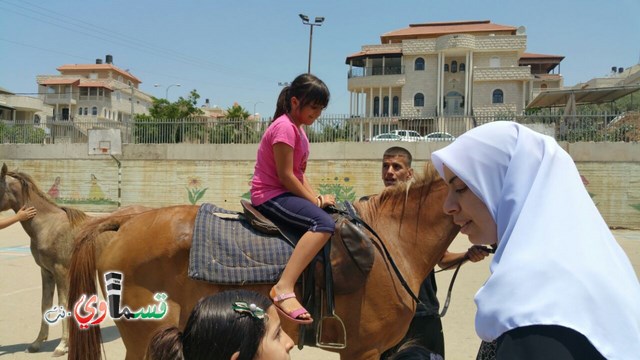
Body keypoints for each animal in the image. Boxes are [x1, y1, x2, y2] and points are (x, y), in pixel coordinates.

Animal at [0, 164, 91, 358]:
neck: (48, 225)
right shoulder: (46, 271)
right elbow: (45, 304)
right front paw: (36, 343)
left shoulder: (61, 271)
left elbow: (64, 303)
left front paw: (62, 346)